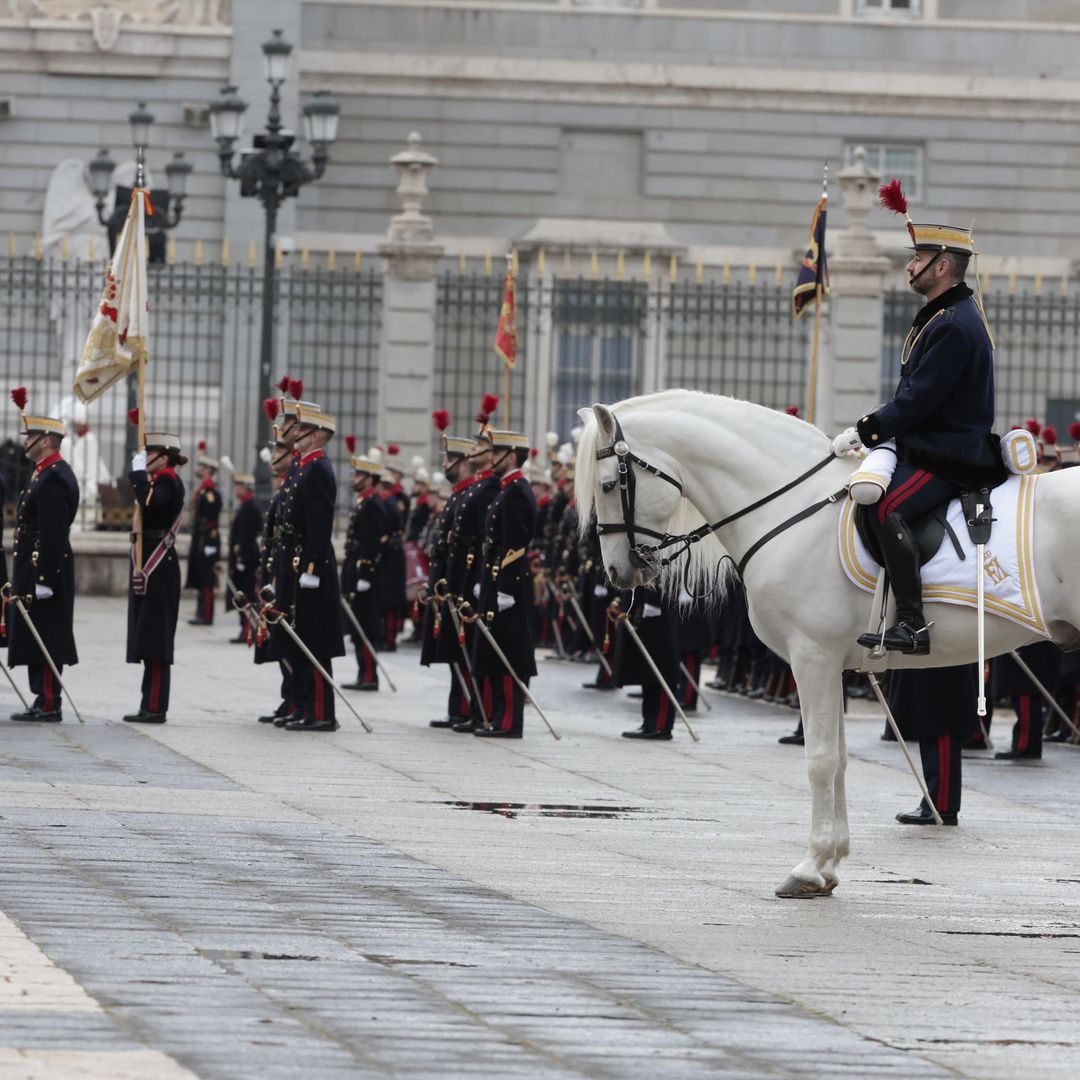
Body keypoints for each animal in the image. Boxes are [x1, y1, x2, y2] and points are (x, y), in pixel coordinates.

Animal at [574, 388, 1080, 894]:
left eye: (607, 485)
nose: (617, 572)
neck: (790, 508)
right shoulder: (832, 662)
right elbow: (838, 760)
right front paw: (831, 864)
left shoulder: (811, 657)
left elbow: (817, 759)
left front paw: (808, 866)